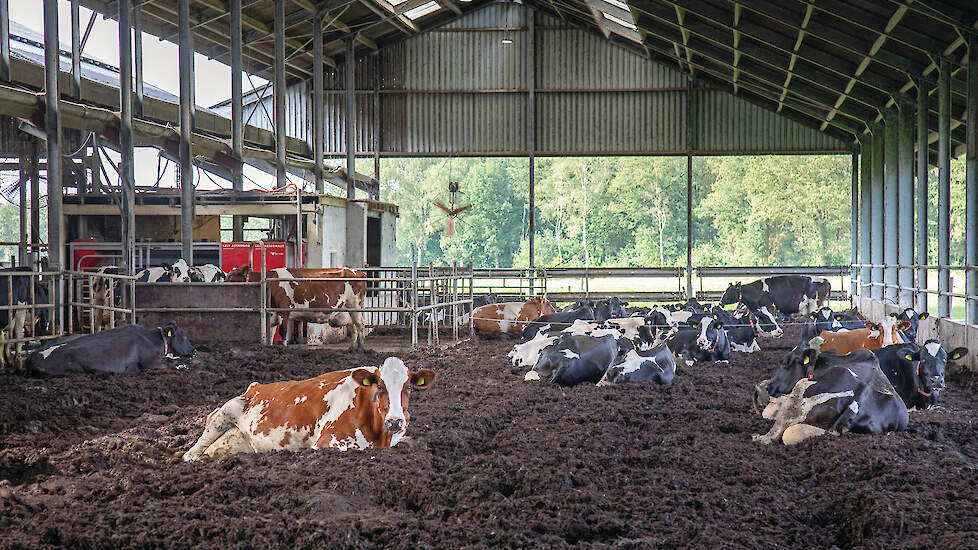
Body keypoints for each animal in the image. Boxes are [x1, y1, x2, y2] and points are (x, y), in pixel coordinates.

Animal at [181, 358, 432, 462]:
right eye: (380, 386)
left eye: (409, 387)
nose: (396, 421)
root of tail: (254, 388)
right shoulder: (328, 442)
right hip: (225, 413)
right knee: (190, 454)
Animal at [225, 264, 366, 350]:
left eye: (231, 277)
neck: (268, 283)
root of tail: (357, 272)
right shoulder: (272, 313)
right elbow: (271, 332)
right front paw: (270, 346)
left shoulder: (284, 311)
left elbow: (283, 331)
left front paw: (284, 347)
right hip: (347, 310)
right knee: (353, 326)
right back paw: (351, 348)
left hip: (354, 305)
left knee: (360, 324)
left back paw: (362, 348)